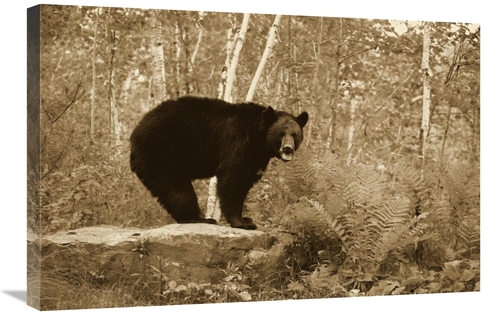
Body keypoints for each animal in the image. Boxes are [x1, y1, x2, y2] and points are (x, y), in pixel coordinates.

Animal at [130, 96, 308, 230]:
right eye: (280, 133)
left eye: (295, 134)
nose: (287, 149)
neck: (258, 138)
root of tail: (134, 134)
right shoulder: (238, 144)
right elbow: (232, 179)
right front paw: (242, 222)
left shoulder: (256, 157)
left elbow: (246, 180)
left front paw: (246, 218)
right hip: (162, 154)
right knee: (176, 188)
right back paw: (199, 218)